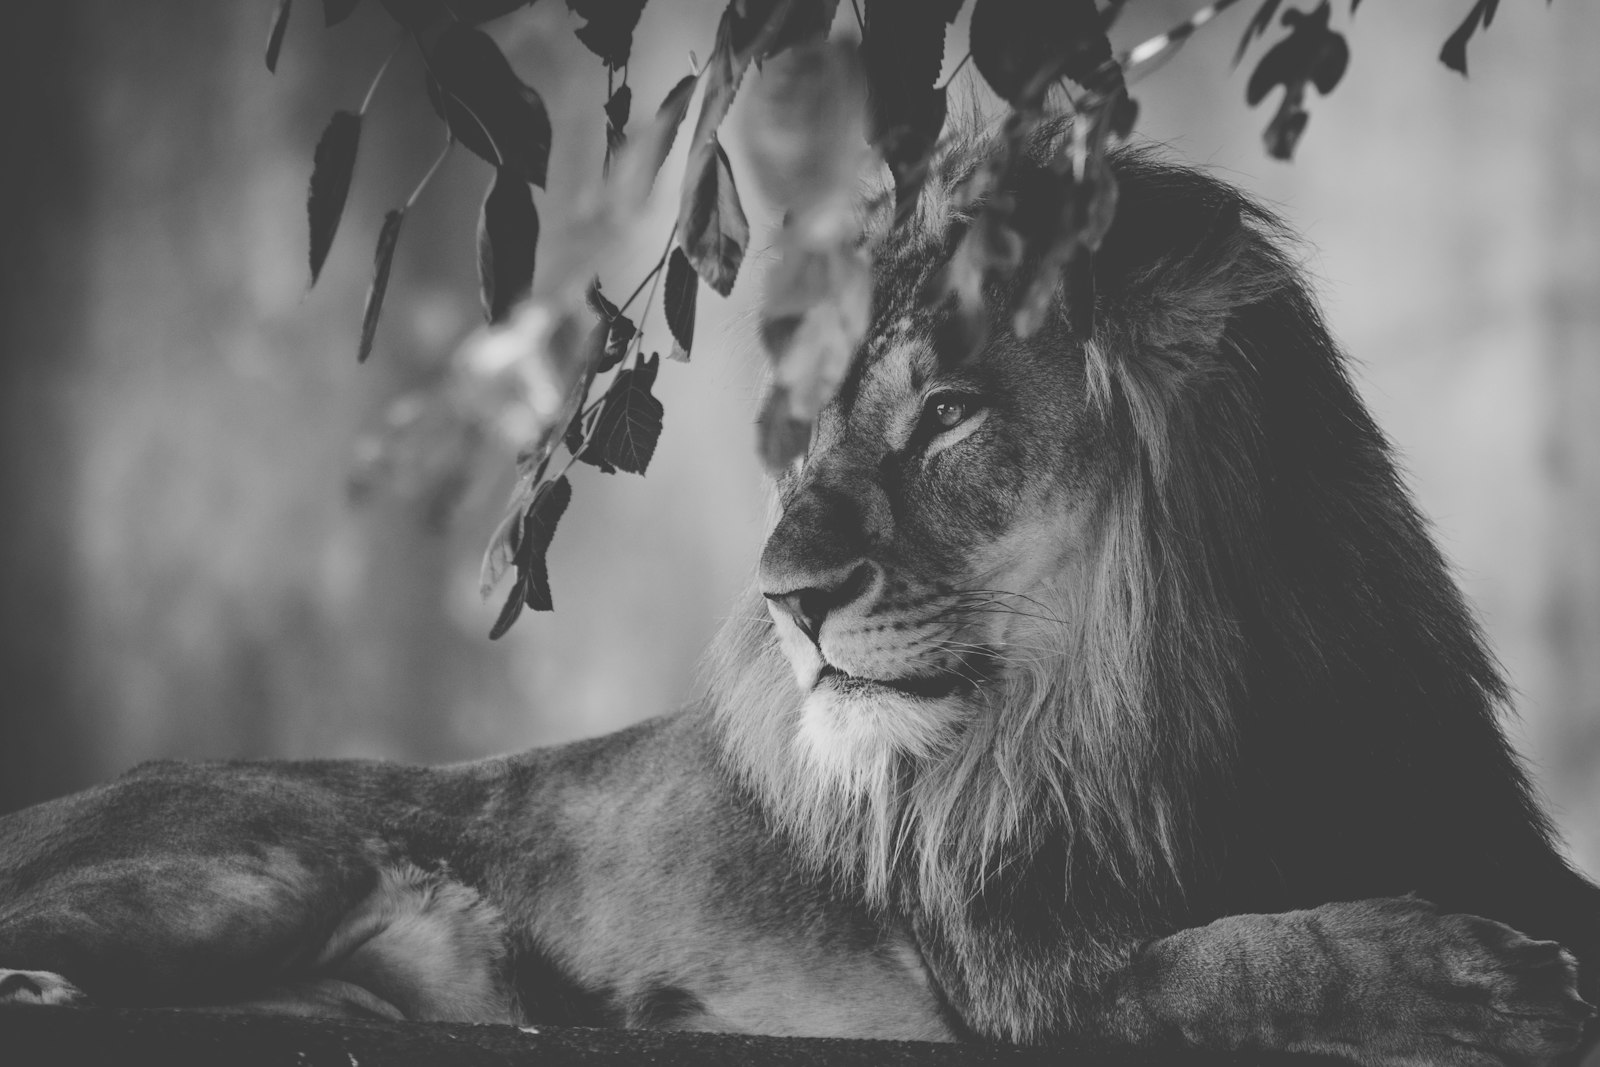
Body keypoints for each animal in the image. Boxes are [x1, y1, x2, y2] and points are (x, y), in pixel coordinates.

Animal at [3, 129, 1600, 1062]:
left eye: (947, 412)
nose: (788, 600)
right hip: (260, 857)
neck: (1210, 708)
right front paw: (1463, 978)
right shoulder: (1025, 983)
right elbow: (1234, 964)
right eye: (804, 431)